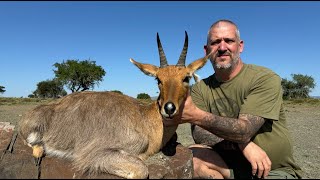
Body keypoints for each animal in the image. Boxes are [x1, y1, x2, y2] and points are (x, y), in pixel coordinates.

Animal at [18, 31, 211, 179]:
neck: (146, 121)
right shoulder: (95, 154)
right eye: (158, 79)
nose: (169, 108)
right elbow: (141, 170)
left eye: (186, 78)